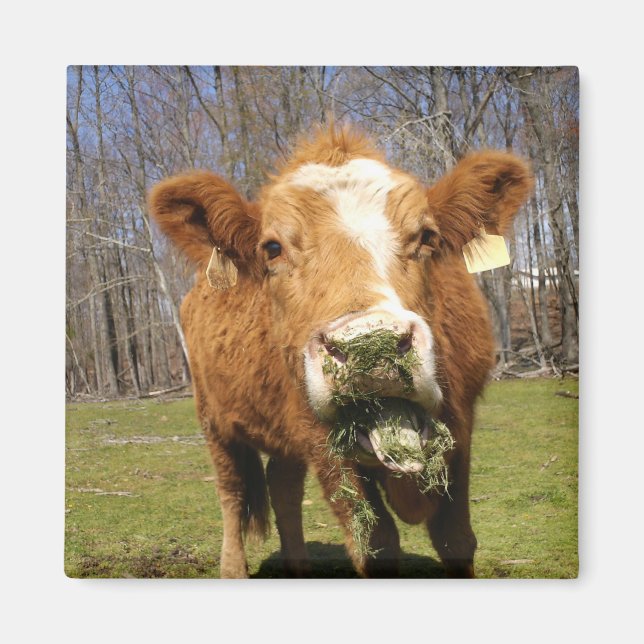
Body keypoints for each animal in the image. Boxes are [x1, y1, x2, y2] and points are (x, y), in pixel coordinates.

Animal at [148, 125, 532, 578]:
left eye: (427, 237)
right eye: (272, 248)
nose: (371, 348)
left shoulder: (462, 421)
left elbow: (456, 538)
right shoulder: (320, 440)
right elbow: (376, 543)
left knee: (283, 486)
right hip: (214, 419)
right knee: (232, 492)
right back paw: (233, 570)